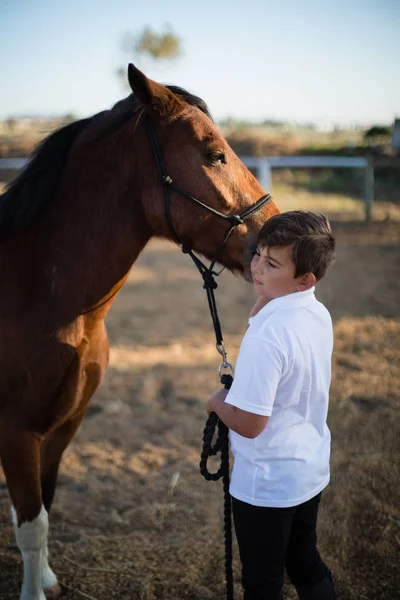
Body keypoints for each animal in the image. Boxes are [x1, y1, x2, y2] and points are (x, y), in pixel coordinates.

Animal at [0, 63, 278, 596]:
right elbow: (30, 525)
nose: (280, 230)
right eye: (214, 154)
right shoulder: (16, 431)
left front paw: (45, 578)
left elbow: (44, 506)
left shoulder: (65, 425)